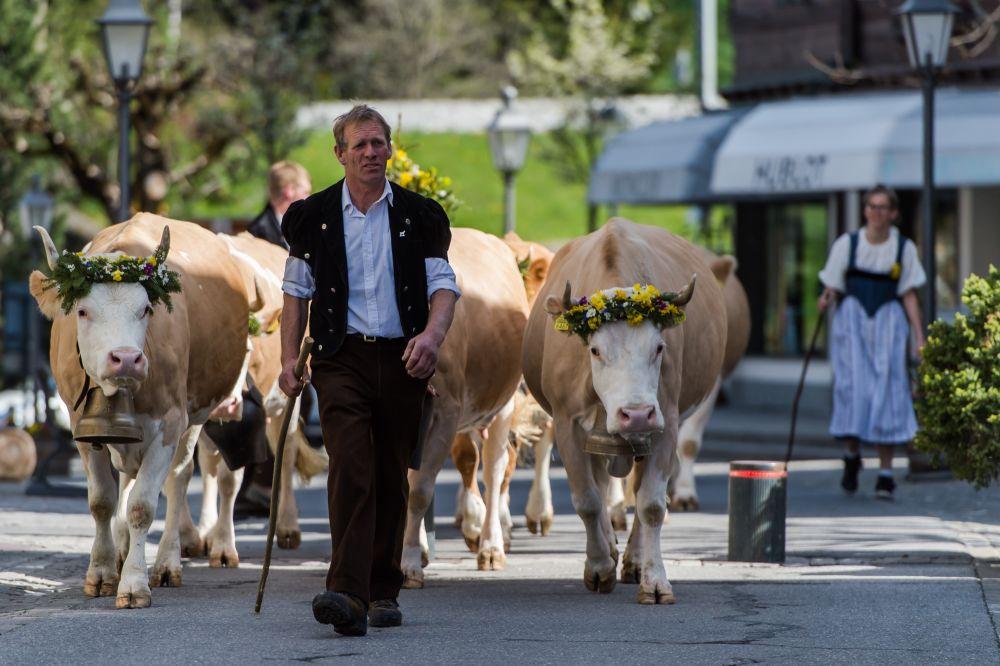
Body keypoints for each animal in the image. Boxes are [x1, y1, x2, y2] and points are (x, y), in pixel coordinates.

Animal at [30, 214, 254, 608]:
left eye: (146, 309)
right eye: (83, 311)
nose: (126, 359)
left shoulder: (169, 424)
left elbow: (142, 506)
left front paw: (134, 583)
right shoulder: (82, 428)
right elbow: (102, 502)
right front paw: (102, 573)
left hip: (193, 418)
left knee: (179, 479)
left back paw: (166, 563)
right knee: (126, 479)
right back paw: (122, 552)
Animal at [402, 226, 536, 584]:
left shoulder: (446, 411)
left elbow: (420, 489)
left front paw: (409, 563)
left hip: (502, 405)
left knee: (494, 470)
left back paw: (491, 546)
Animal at [524, 217, 728, 600]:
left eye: (659, 347)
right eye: (595, 350)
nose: (635, 414)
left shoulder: (665, 421)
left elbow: (651, 504)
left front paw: (655, 579)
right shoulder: (566, 422)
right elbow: (587, 499)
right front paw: (599, 567)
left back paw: (632, 560)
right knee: (602, 485)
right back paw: (608, 548)